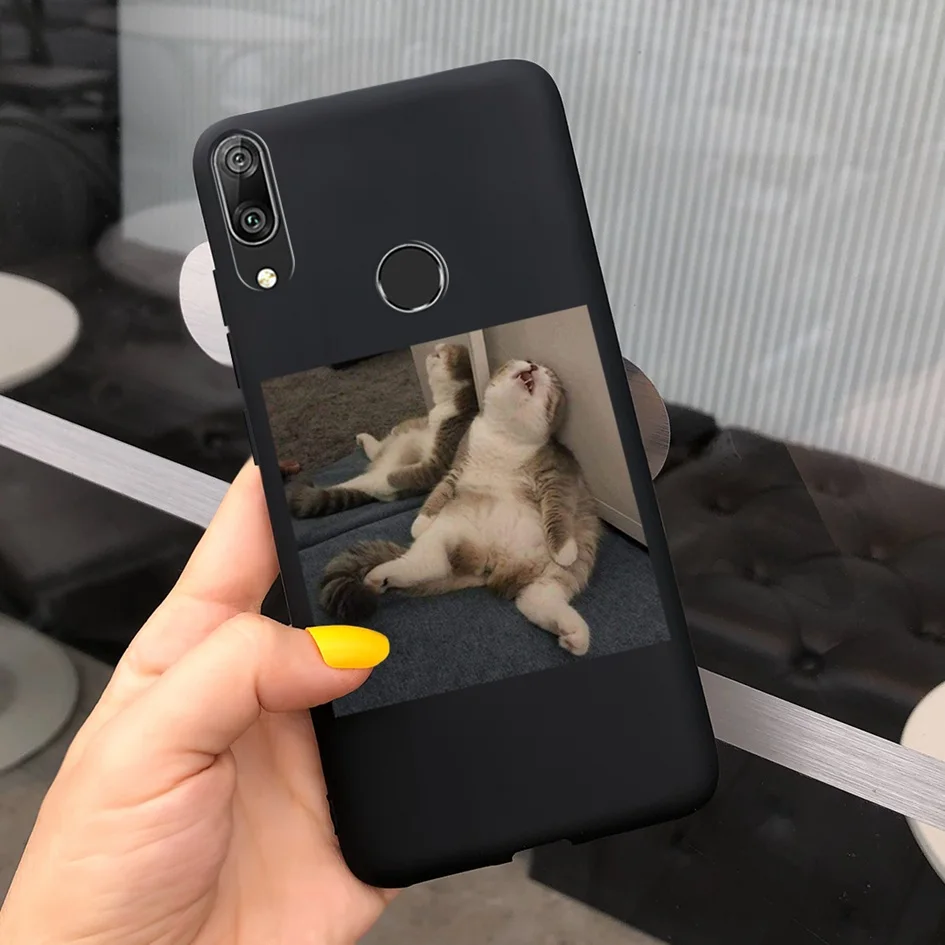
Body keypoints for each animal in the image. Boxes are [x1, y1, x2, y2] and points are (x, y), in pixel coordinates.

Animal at [287, 343, 477, 517]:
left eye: (439, 355)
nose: (436, 346)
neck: (451, 401)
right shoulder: (425, 421)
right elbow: (417, 422)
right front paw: (397, 427)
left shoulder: (439, 462)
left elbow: (405, 476)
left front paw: (389, 479)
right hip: (394, 446)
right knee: (376, 454)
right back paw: (364, 439)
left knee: (367, 482)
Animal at [320, 358, 601, 655]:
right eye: (522, 361)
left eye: (550, 376)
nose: (534, 365)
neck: (505, 438)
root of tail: (493, 561)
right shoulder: (458, 466)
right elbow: (439, 491)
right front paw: (420, 522)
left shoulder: (557, 477)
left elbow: (558, 513)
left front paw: (563, 548)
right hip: (447, 531)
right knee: (425, 565)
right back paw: (381, 576)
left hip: (573, 561)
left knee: (536, 598)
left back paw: (574, 634)